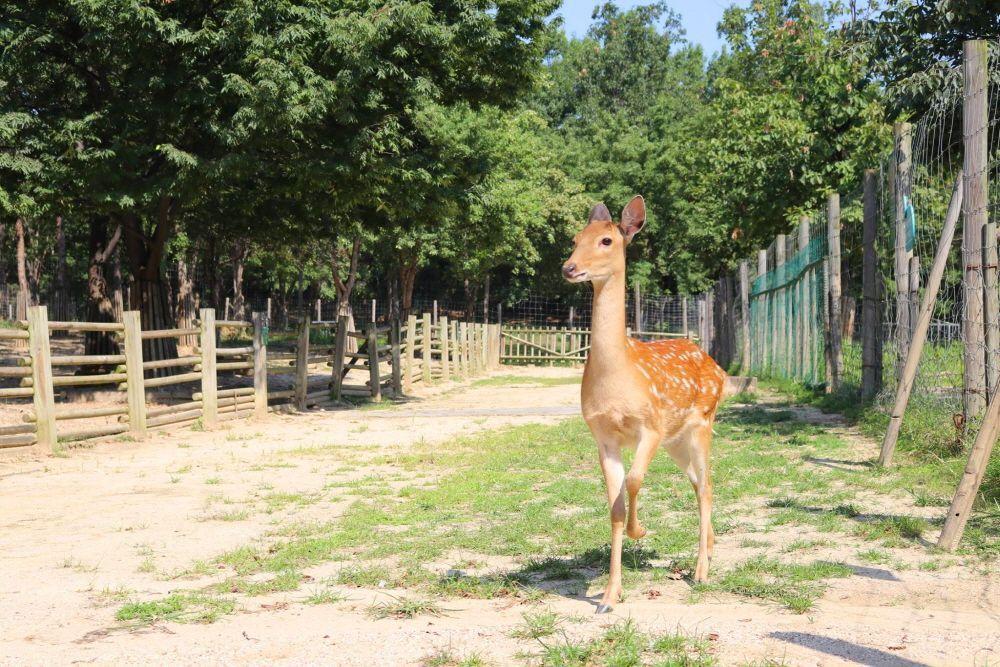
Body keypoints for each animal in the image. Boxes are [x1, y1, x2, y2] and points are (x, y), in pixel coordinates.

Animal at [562, 196, 727, 614]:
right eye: (575, 238)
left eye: (606, 240)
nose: (569, 267)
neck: (618, 378)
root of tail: (717, 366)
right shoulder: (602, 435)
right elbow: (614, 507)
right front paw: (609, 596)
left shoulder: (650, 425)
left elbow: (635, 481)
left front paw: (642, 529)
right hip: (676, 440)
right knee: (695, 481)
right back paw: (710, 548)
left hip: (702, 423)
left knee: (707, 486)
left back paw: (701, 570)